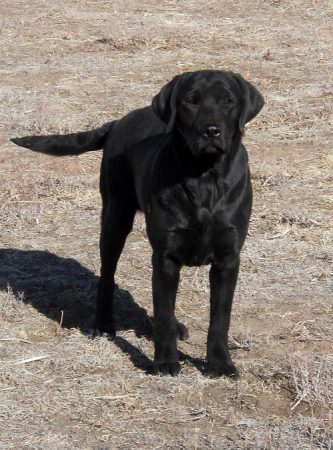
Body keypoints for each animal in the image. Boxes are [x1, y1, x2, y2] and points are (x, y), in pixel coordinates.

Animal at [11, 70, 264, 378]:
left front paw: (221, 364)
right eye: (191, 101)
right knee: (107, 275)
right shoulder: (165, 256)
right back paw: (103, 324)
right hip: (115, 217)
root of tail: (117, 122)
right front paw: (165, 362)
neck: (204, 179)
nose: (211, 130)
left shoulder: (227, 258)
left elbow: (219, 318)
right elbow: (164, 314)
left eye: (227, 100)